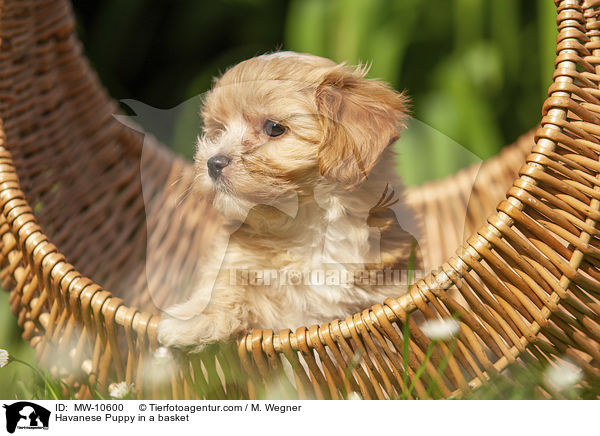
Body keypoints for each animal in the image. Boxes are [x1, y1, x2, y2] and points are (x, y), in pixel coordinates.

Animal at [157, 51, 424, 352]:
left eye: (274, 128)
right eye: (219, 129)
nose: (213, 162)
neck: (305, 224)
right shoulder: (236, 256)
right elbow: (224, 282)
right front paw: (194, 320)